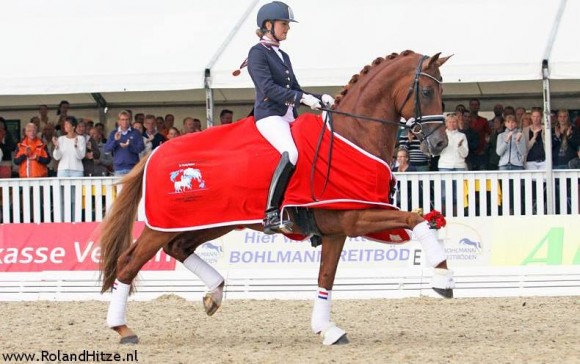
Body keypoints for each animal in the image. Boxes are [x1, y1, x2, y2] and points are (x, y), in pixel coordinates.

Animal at [98, 49, 454, 346]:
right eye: (426, 91)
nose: (439, 144)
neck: (351, 136)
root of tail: (155, 151)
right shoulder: (356, 217)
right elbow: (417, 220)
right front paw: (443, 277)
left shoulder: (338, 229)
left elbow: (326, 278)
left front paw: (327, 330)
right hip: (163, 226)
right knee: (128, 263)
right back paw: (122, 329)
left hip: (214, 221)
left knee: (178, 247)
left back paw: (214, 293)